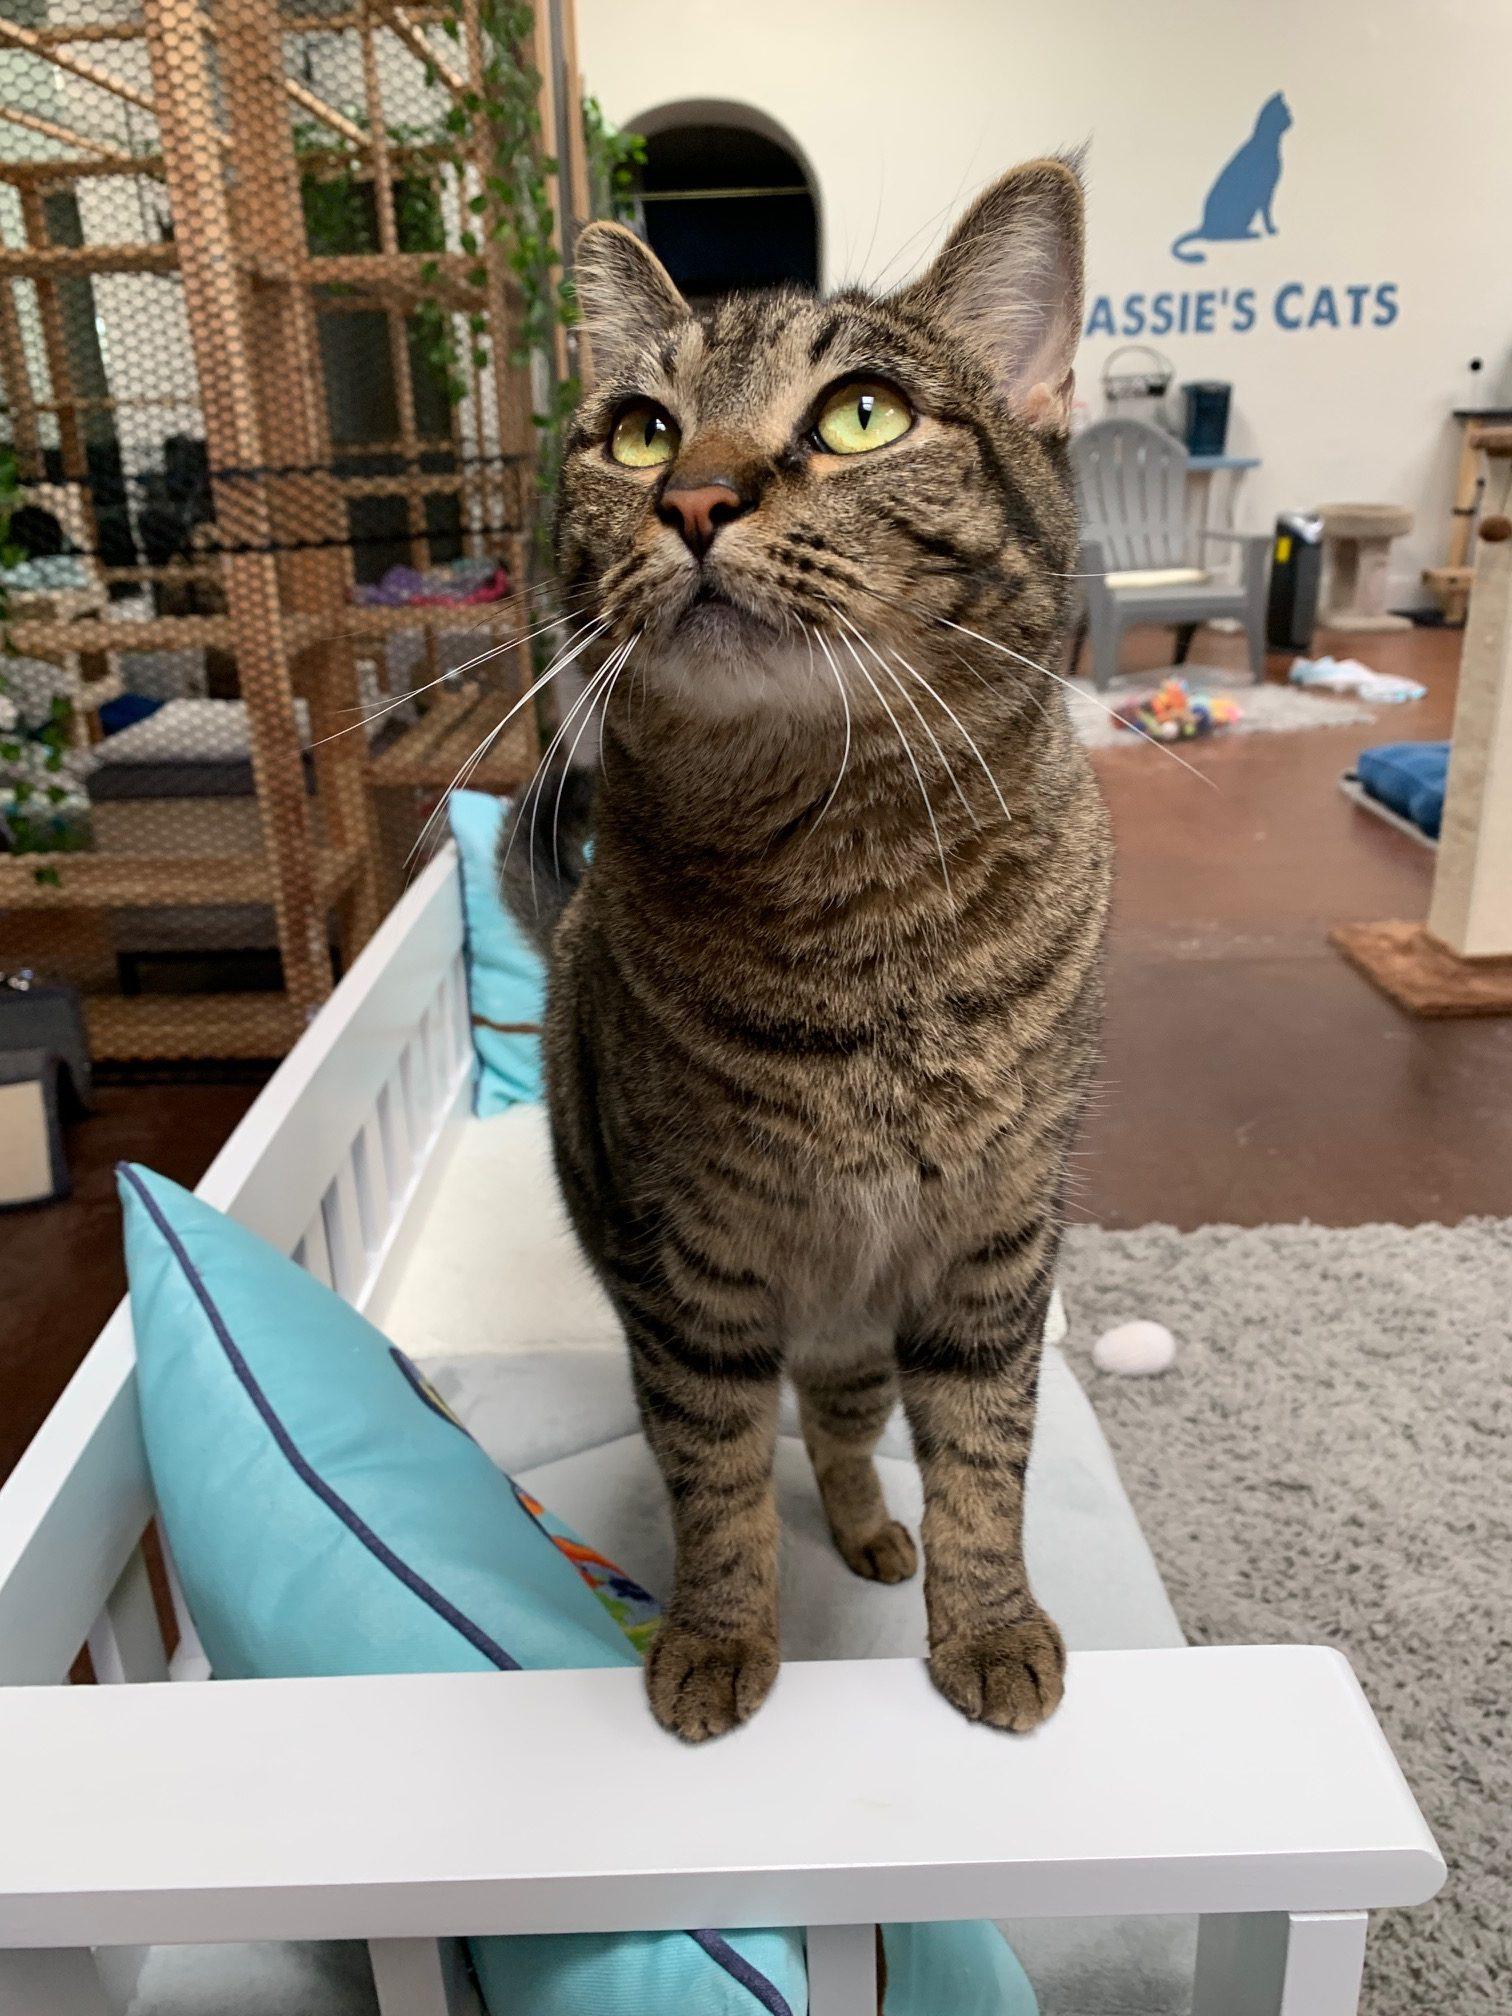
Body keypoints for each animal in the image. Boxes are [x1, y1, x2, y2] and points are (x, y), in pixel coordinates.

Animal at [502, 158, 1112, 1743]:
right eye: (638, 430)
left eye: (863, 415)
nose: (693, 495)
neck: (852, 898)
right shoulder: (688, 1279)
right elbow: (713, 1473)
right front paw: (719, 1638)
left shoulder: (994, 1255)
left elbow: (986, 1456)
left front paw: (989, 1625)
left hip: (860, 1332)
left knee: (844, 1431)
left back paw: (870, 1531)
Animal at [1171, 90, 1292, 263]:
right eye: (1286, 112)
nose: (1292, 119)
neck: (1269, 142)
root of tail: (1204, 227)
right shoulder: (1266, 190)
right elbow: (1267, 212)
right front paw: (1270, 230)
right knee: (1225, 236)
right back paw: (1250, 235)